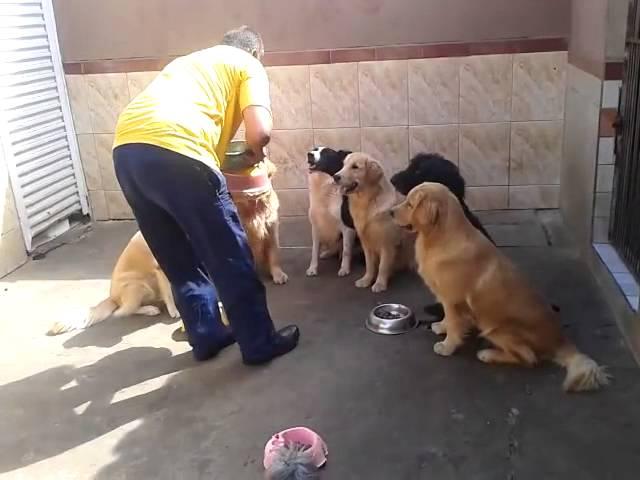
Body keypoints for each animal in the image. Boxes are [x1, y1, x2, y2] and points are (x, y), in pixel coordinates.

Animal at [306, 146, 358, 276]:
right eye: (314, 149)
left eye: (327, 153)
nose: (309, 154)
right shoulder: (316, 227)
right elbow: (314, 251)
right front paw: (312, 268)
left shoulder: (347, 227)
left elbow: (346, 251)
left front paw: (344, 269)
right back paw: (328, 253)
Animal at [332, 153, 412, 292]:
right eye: (343, 165)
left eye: (355, 167)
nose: (335, 176)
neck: (368, 202)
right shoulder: (366, 243)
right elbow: (369, 265)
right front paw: (366, 280)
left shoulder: (387, 244)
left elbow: (382, 266)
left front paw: (379, 284)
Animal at [390, 182, 608, 392]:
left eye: (410, 204)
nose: (390, 212)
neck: (440, 237)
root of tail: (560, 339)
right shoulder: (447, 300)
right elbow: (448, 319)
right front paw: (441, 326)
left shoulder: (453, 300)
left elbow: (454, 324)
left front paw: (447, 346)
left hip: (497, 330)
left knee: (528, 357)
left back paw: (488, 354)